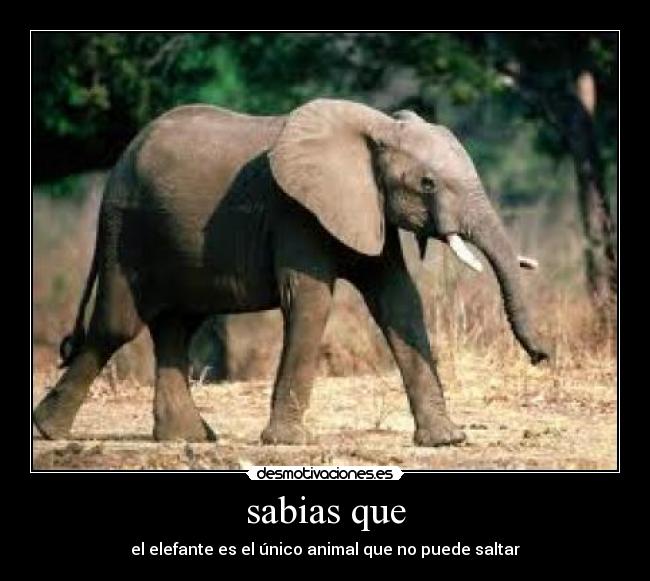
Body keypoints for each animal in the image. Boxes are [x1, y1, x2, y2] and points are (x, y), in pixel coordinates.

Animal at [33, 98, 548, 447]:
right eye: (427, 184)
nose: (542, 357)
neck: (376, 126)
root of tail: (121, 157)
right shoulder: (296, 211)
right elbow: (311, 300)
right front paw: (286, 443)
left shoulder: (366, 206)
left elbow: (398, 300)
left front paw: (446, 440)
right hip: (126, 229)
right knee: (117, 326)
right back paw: (50, 431)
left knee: (177, 326)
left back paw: (188, 439)